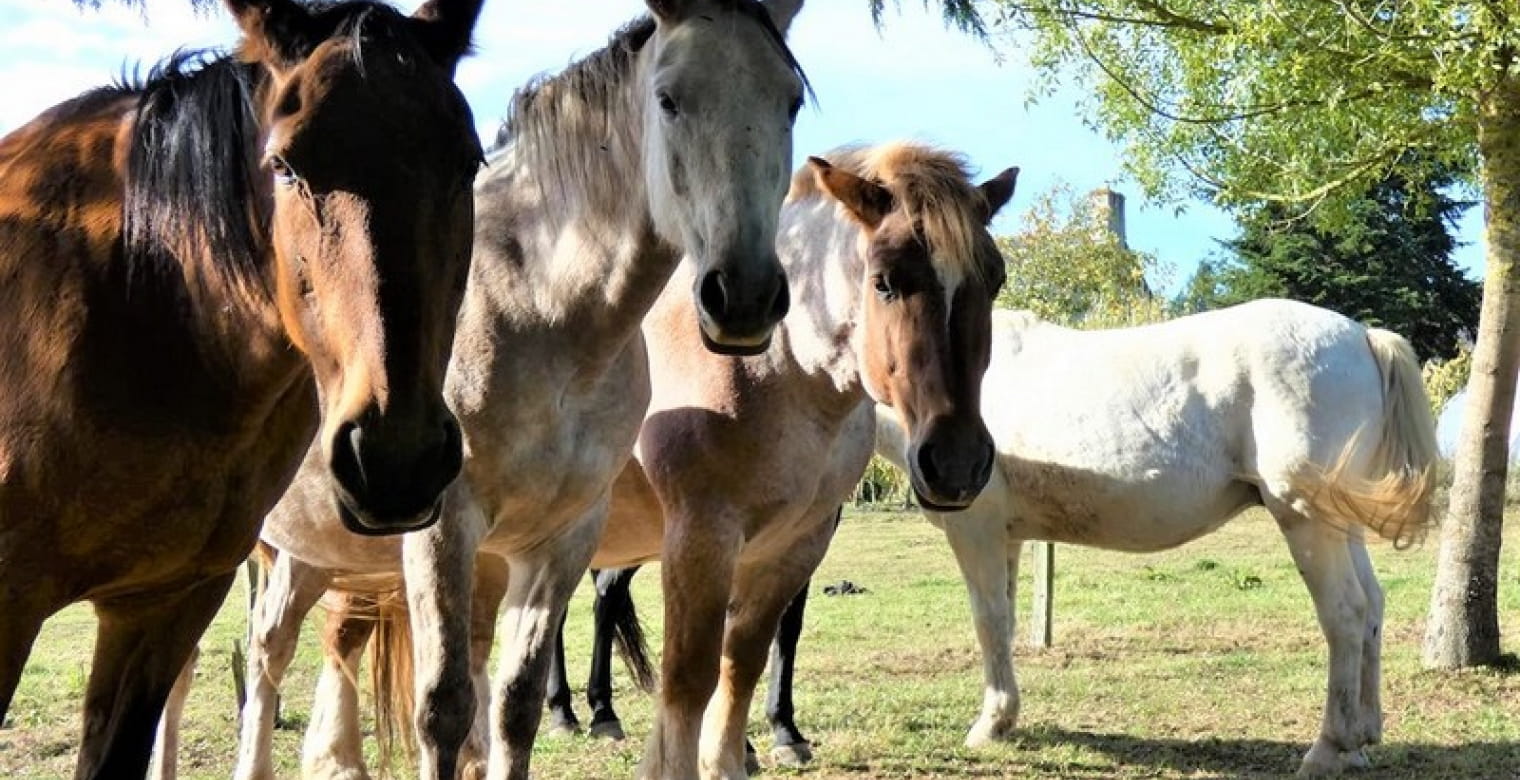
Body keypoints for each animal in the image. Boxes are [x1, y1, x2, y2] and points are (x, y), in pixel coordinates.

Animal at [231, 3, 814, 775]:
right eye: (669, 99)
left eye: (790, 101)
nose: (744, 296)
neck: (539, 310)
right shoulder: (444, 527)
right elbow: (445, 709)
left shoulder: (559, 541)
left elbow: (514, 705)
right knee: (261, 657)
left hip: (320, 557)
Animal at [875, 299, 1440, 778]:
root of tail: (1363, 336)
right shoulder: (1007, 538)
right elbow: (1007, 622)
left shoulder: (977, 530)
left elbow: (988, 622)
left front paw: (991, 723)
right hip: (1341, 524)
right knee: (1371, 607)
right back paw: (1362, 740)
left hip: (1307, 520)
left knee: (1345, 614)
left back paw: (1328, 748)